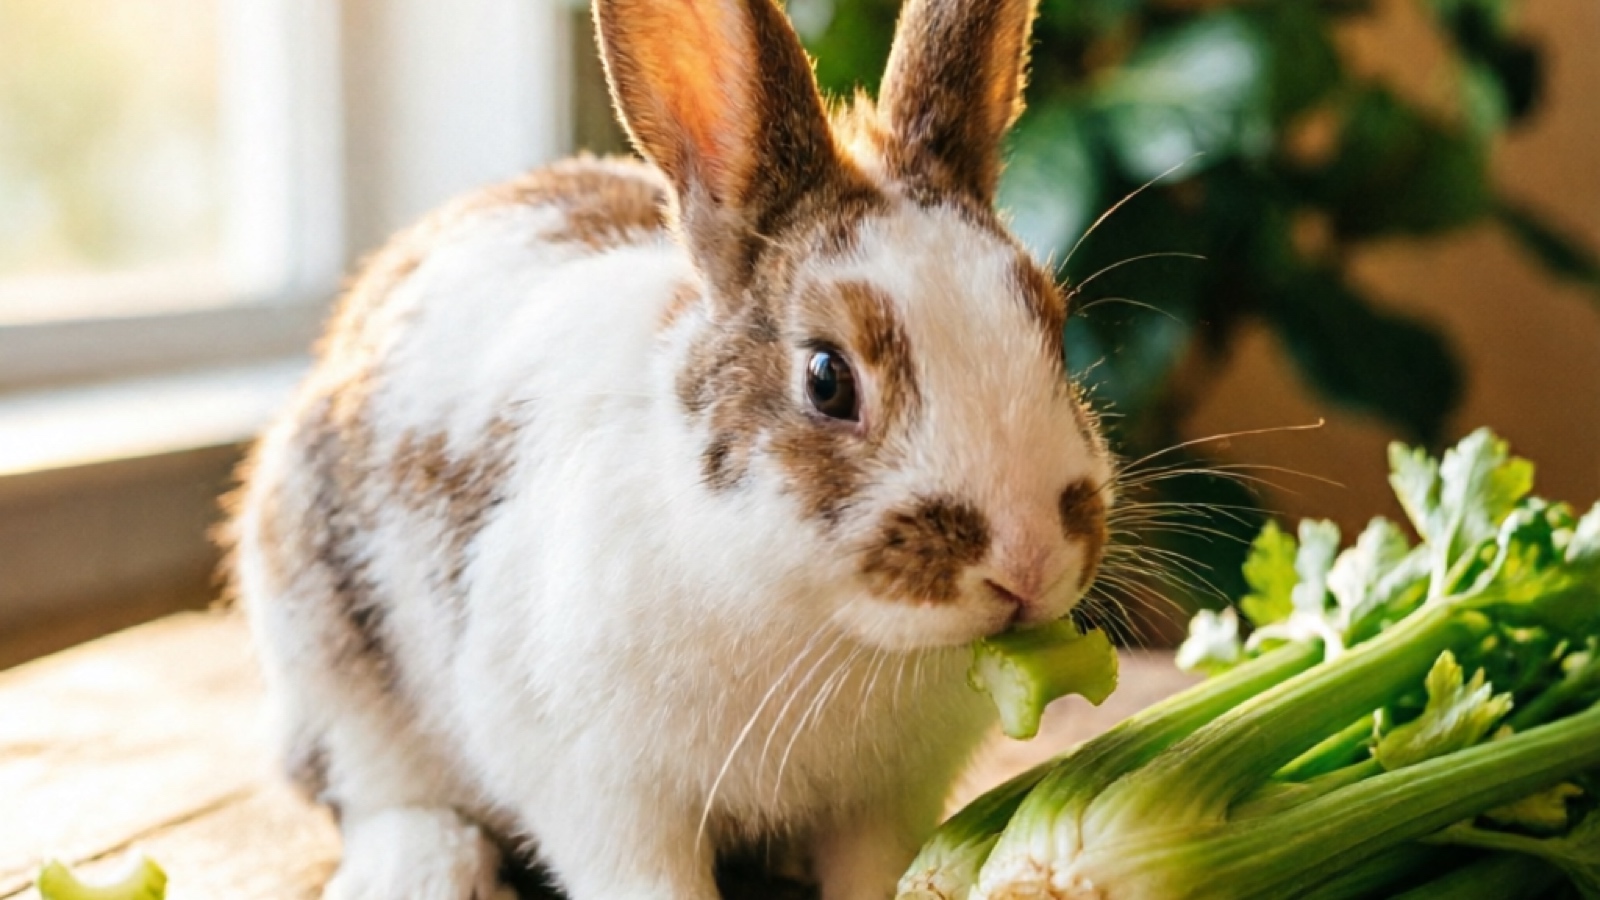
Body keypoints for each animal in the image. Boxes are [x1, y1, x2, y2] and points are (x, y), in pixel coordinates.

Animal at [225, 0, 1114, 897]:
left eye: (1055, 330)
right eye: (828, 379)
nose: (1030, 561)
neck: (818, 622)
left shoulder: (885, 800)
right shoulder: (605, 793)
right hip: (323, 657)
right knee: (369, 792)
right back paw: (421, 867)